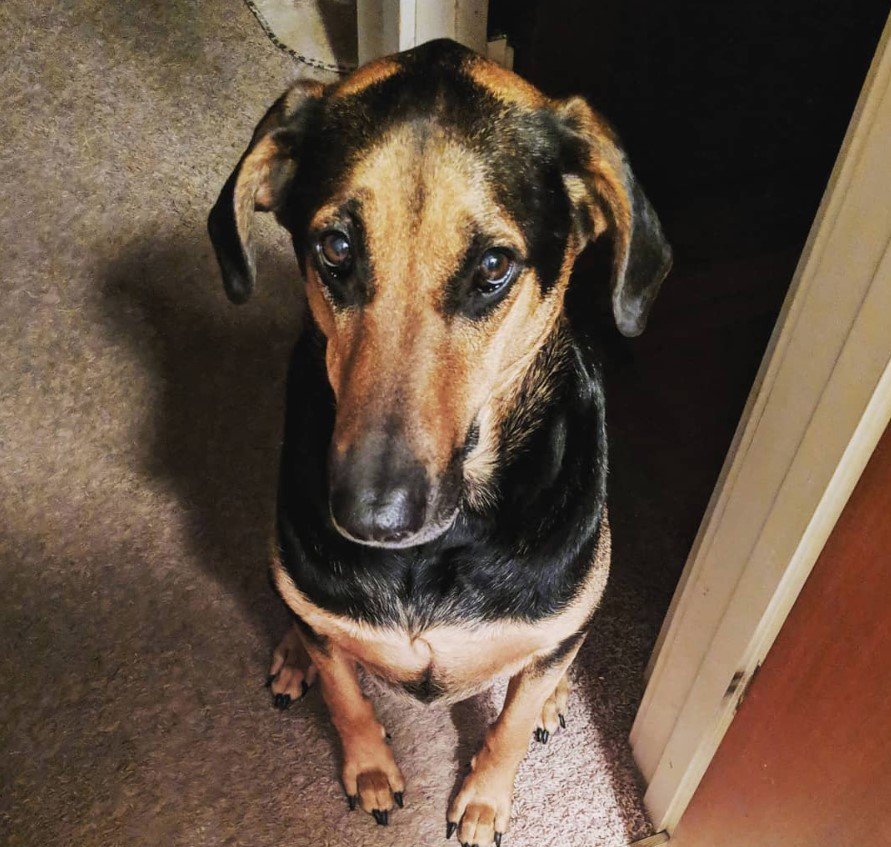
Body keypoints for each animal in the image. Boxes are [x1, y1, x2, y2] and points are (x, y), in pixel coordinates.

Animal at [207, 38, 668, 847]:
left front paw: (484, 801)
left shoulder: (553, 624)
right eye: (334, 247)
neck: (438, 555)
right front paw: (369, 770)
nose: (373, 517)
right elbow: (346, 697)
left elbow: (509, 724)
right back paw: (293, 655)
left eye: (493, 267)